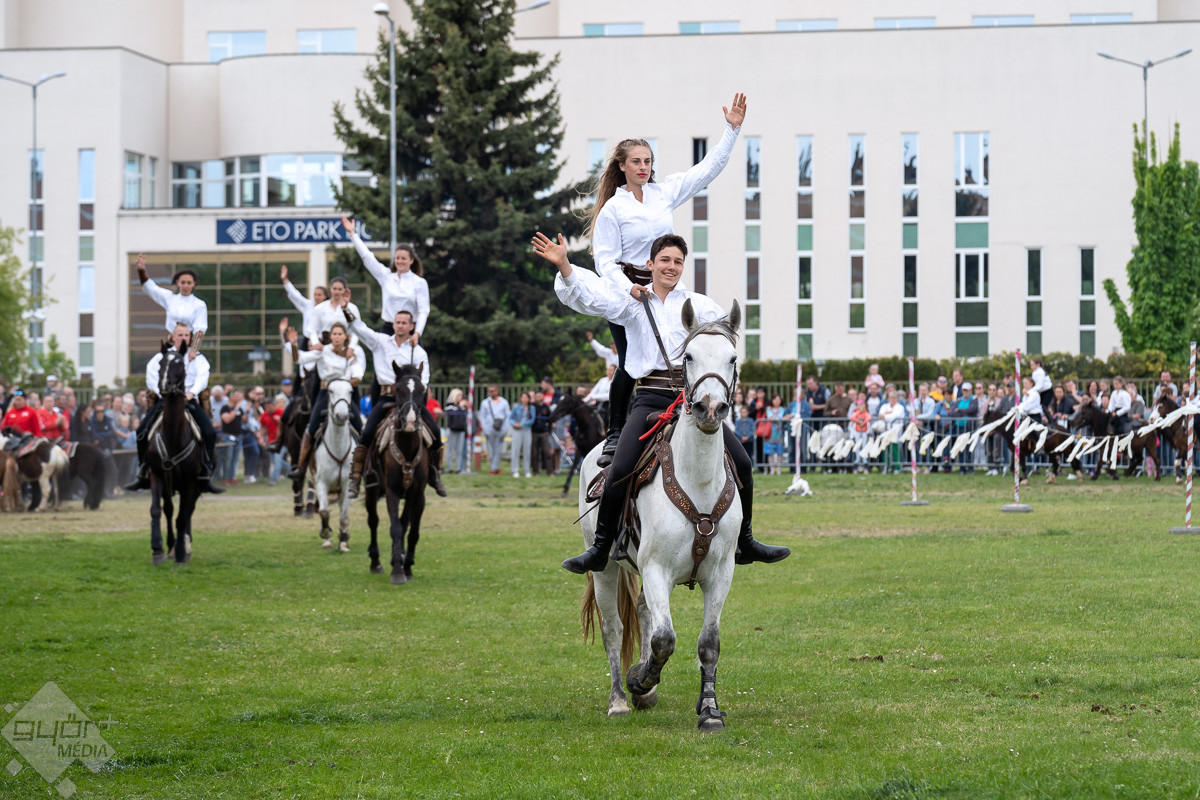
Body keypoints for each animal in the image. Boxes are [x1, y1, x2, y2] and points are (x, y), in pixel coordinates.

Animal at [146, 341, 206, 564]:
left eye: (180, 364)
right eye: (161, 363)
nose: (164, 385)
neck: (173, 437)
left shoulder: (190, 481)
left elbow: (183, 516)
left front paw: (181, 551)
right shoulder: (156, 475)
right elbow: (157, 510)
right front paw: (157, 548)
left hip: (196, 485)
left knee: (187, 512)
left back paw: (184, 546)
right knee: (170, 510)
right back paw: (171, 546)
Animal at [310, 378, 356, 552]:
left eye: (351, 391)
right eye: (330, 391)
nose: (341, 416)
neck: (338, 447)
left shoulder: (347, 485)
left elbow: (344, 517)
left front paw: (343, 542)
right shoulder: (321, 483)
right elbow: (324, 511)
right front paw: (326, 533)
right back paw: (327, 540)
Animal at [365, 363, 429, 585]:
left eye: (422, 390)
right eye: (399, 389)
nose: (410, 421)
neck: (407, 447)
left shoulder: (416, 494)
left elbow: (411, 530)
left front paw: (406, 565)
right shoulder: (392, 491)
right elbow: (395, 528)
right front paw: (397, 571)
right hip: (371, 490)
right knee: (373, 521)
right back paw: (375, 562)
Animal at [578, 299, 743, 731]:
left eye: (733, 358)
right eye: (689, 356)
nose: (710, 408)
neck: (697, 481)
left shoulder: (721, 574)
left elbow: (708, 643)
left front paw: (709, 710)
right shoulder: (656, 569)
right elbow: (664, 639)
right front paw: (641, 678)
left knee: (641, 612)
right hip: (605, 568)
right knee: (615, 629)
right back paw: (621, 697)